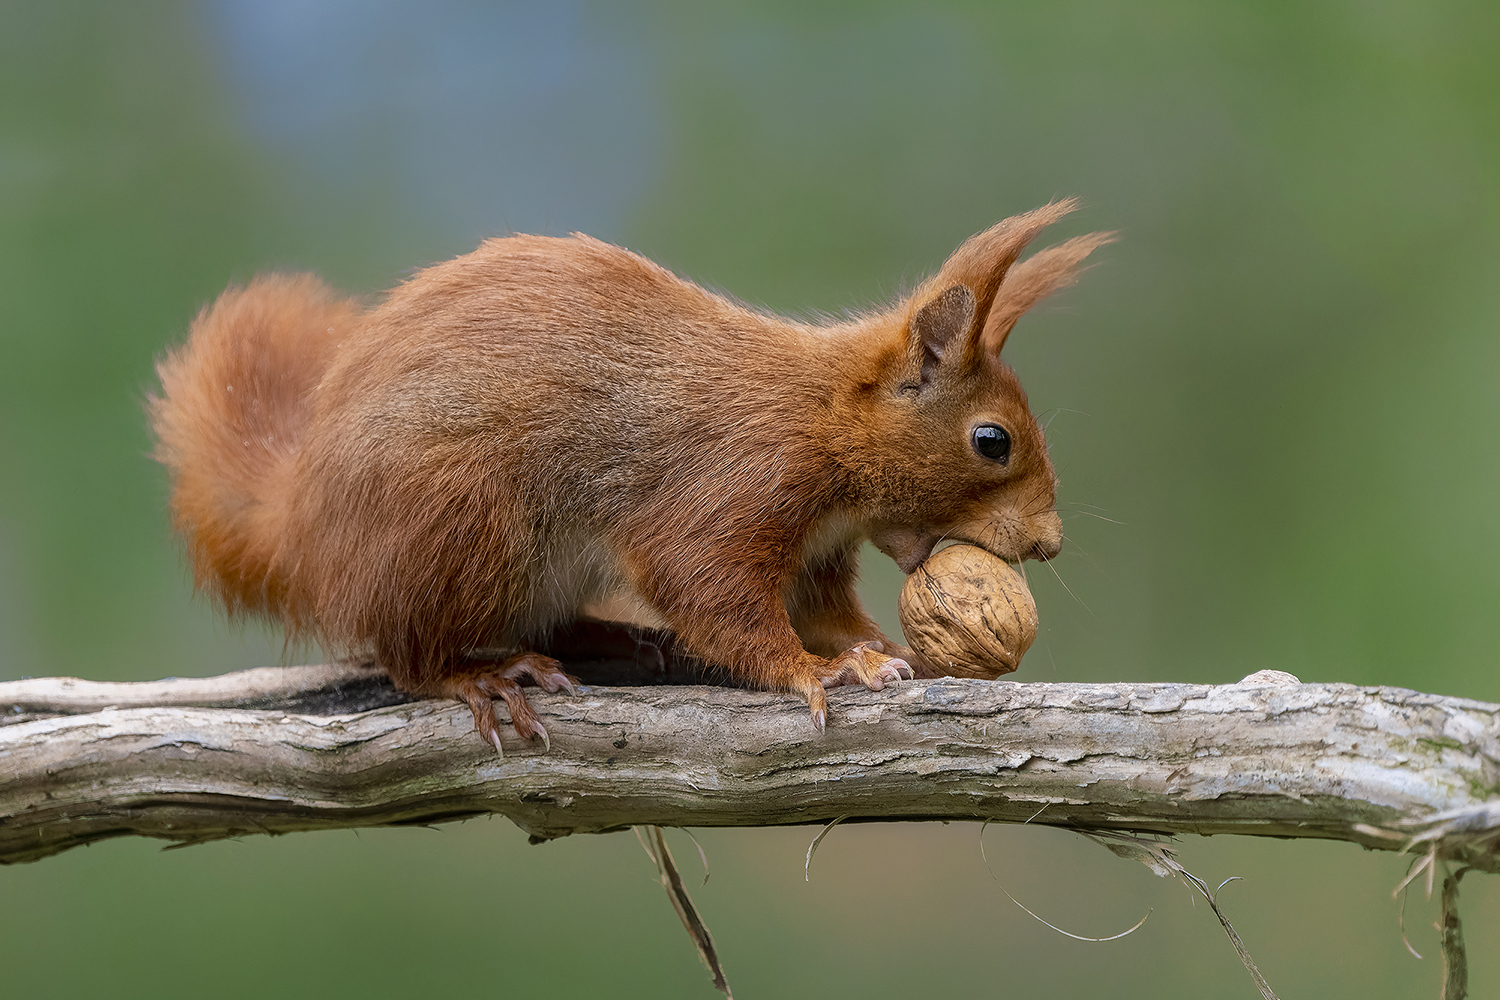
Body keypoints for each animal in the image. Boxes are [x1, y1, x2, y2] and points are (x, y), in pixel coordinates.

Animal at [152, 199, 1110, 755]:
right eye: (992, 441)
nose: (1051, 542)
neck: (823, 417)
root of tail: (304, 533)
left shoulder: (816, 551)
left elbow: (824, 610)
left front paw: (877, 649)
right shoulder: (738, 484)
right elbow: (713, 591)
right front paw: (818, 672)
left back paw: (615, 639)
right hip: (460, 524)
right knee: (406, 653)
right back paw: (481, 676)